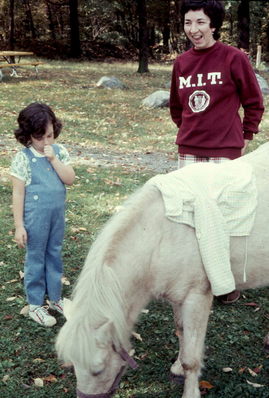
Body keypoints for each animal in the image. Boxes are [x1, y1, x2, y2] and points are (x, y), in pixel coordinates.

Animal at [55, 143, 268, 398]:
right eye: (72, 365)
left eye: (98, 369)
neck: (161, 238)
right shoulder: (178, 297)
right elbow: (181, 333)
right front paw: (177, 368)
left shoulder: (197, 299)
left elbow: (192, 358)